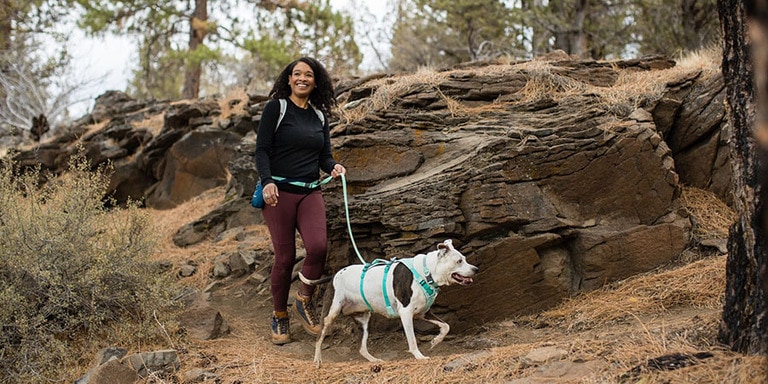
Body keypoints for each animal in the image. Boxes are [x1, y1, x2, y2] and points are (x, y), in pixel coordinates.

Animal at [298, 238, 474, 368]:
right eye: (459, 261)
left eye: (465, 259)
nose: (476, 269)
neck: (426, 272)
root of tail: (334, 275)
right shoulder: (406, 313)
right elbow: (412, 340)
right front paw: (419, 356)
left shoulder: (423, 313)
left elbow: (446, 326)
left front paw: (435, 341)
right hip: (331, 313)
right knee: (319, 337)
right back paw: (317, 360)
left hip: (363, 320)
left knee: (361, 348)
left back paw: (374, 360)